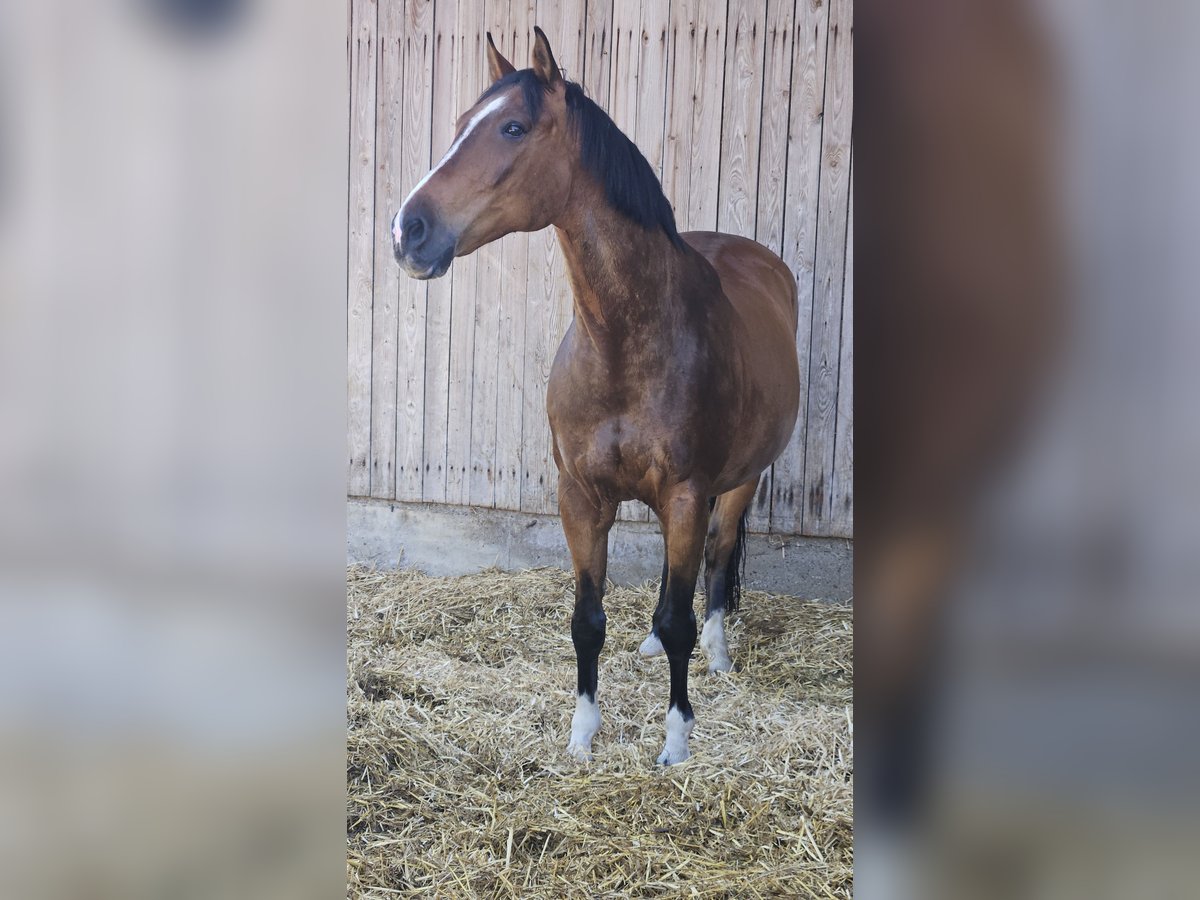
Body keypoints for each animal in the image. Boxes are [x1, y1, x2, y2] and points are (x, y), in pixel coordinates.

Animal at [393, 28, 801, 763]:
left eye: (513, 126)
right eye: (462, 122)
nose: (407, 229)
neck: (625, 344)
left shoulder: (687, 494)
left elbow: (681, 613)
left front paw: (676, 742)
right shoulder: (579, 497)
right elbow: (588, 619)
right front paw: (583, 734)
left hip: (741, 481)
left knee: (717, 561)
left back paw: (718, 655)